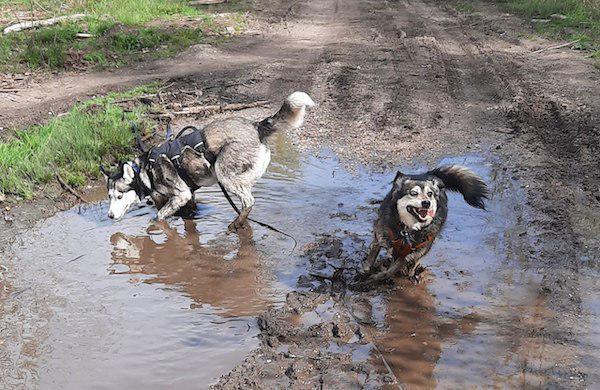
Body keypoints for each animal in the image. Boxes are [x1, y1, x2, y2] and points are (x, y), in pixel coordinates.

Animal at [99, 92, 314, 232]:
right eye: (109, 197)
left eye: (119, 196)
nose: (109, 216)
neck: (146, 170)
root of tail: (257, 126)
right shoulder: (187, 196)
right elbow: (186, 213)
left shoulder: (181, 194)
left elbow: (159, 216)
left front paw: (156, 226)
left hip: (223, 172)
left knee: (249, 201)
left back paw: (236, 224)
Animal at [360, 165, 488, 284]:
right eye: (413, 193)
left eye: (430, 194)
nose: (427, 203)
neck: (406, 228)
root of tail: (429, 174)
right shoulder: (379, 238)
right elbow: (371, 258)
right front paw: (364, 272)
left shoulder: (408, 254)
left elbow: (391, 270)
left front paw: (377, 277)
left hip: (426, 246)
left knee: (415, 262)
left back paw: (411, 274)